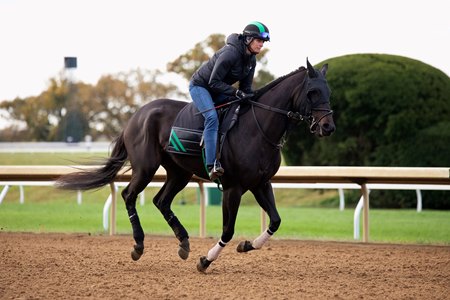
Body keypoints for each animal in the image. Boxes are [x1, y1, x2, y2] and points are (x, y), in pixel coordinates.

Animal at [55, 58, 334, 272]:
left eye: (328, 92)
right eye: (312, 92)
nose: (328, 127)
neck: (259, 128)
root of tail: (134, 116)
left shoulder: (260, 183)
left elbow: (275, 221)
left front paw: (246, 245)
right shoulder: (233, 188)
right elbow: (227, 230)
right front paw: (206, 260)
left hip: (180, 172)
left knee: (161, 201)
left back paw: (183, 242)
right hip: (146, 167)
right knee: (129, 195)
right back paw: (138, 245)